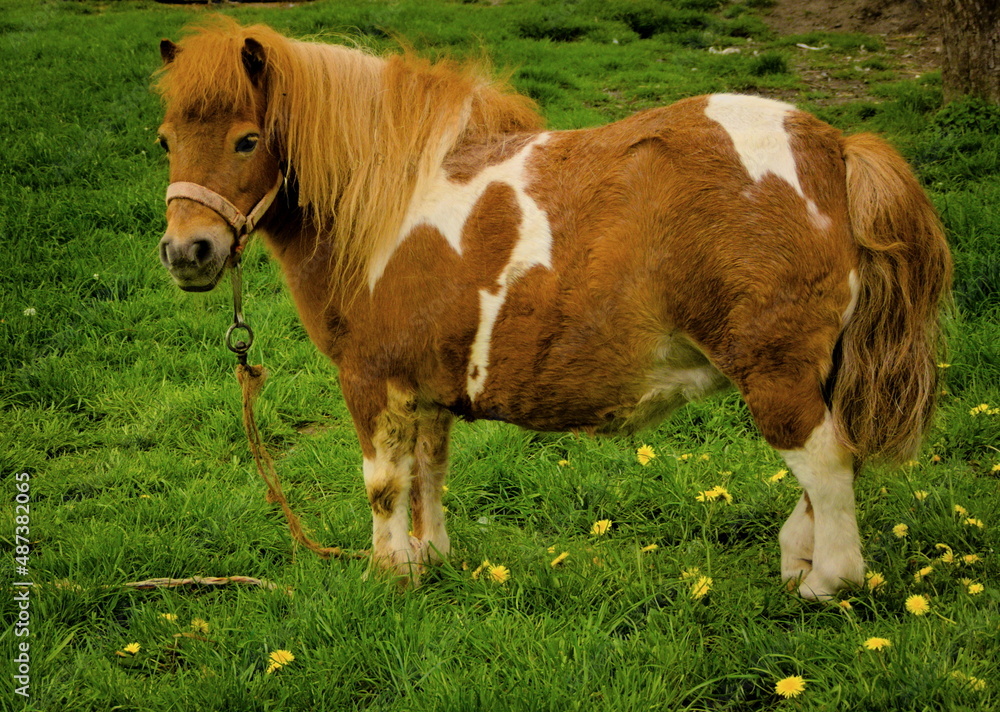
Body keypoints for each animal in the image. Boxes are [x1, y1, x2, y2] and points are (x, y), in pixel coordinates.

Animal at [155, 18, 951, 599]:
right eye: (165, 140)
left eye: (247, 139)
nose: (187, 251)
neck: (386, 199)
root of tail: (832, 148)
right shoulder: (426, 389)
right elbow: (428, 473)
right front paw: (430, 560)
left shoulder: (371, 381)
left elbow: (384, 485)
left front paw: (387, 575)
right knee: (831, 469)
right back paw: (800, 562)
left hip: (775, 374)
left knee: (826, 465)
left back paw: (826, 583)